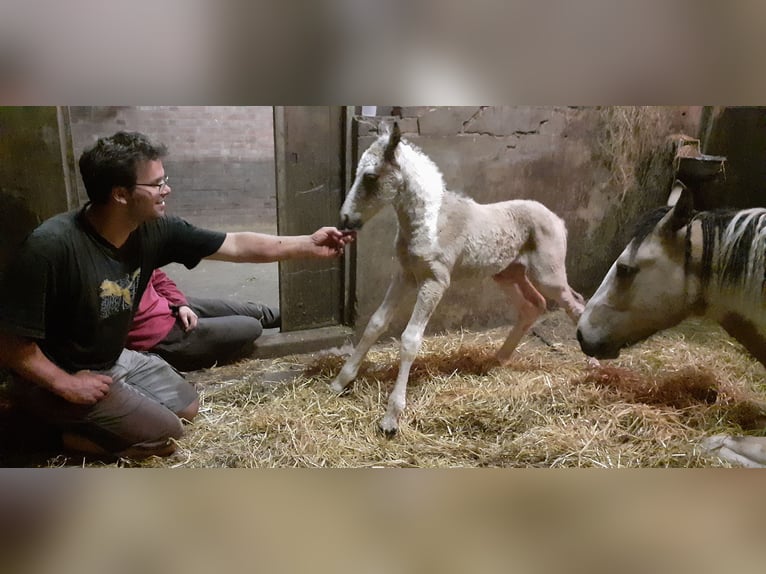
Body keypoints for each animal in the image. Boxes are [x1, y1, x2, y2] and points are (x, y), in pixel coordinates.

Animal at [331, 121, 584, 436]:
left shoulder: (435, 282)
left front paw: (391, 418)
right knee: (533, 305)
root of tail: (558, 220)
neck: (430, 222)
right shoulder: (405, 275)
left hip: (548, 275)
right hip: (507, 274)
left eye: (370, 176)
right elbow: (375, 323)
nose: (345, 219)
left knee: (575, 303)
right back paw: (499, 359)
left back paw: (596, 364)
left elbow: (410, 339)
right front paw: (340, 381)